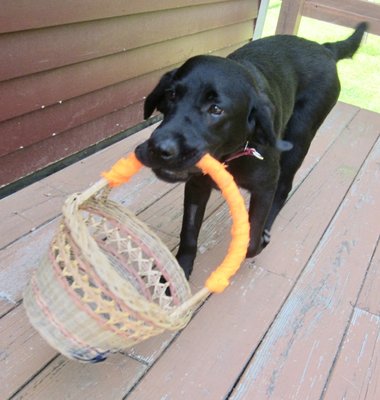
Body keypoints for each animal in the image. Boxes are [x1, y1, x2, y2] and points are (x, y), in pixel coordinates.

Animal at [135, 21, 366, 278]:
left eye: (216, 109)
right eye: (171, 95)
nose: (160, 149)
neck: (229, 156)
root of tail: (325, 48)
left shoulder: (265, 187)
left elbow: (251, 241)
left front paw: (257, 237)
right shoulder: (196, 186)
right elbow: (189, 234)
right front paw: (178, 273)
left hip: (299, 137)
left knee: (284, 189)